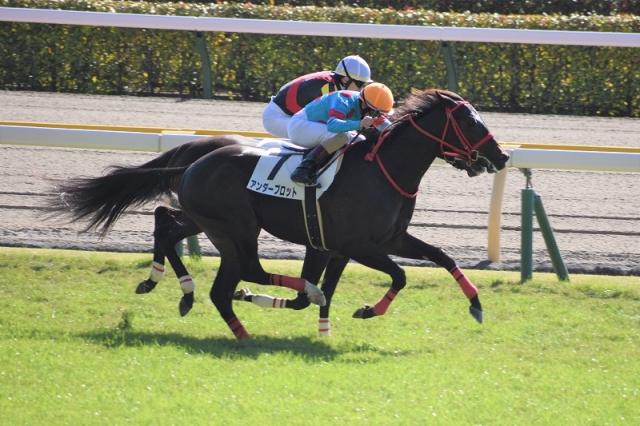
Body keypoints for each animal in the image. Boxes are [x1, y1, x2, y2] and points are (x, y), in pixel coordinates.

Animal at [49, 89, 509, 340]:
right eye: (470, 121)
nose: (502, 156)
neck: (383, 170)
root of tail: (196, 159)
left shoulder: (376, 241)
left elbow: (444, 257)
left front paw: (476, 305)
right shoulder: (358, 244)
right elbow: (398, 276)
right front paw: (365, 310)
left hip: (207, 221)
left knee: (170, 227)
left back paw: (177, 289)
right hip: (237, 228)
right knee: (244, 269)